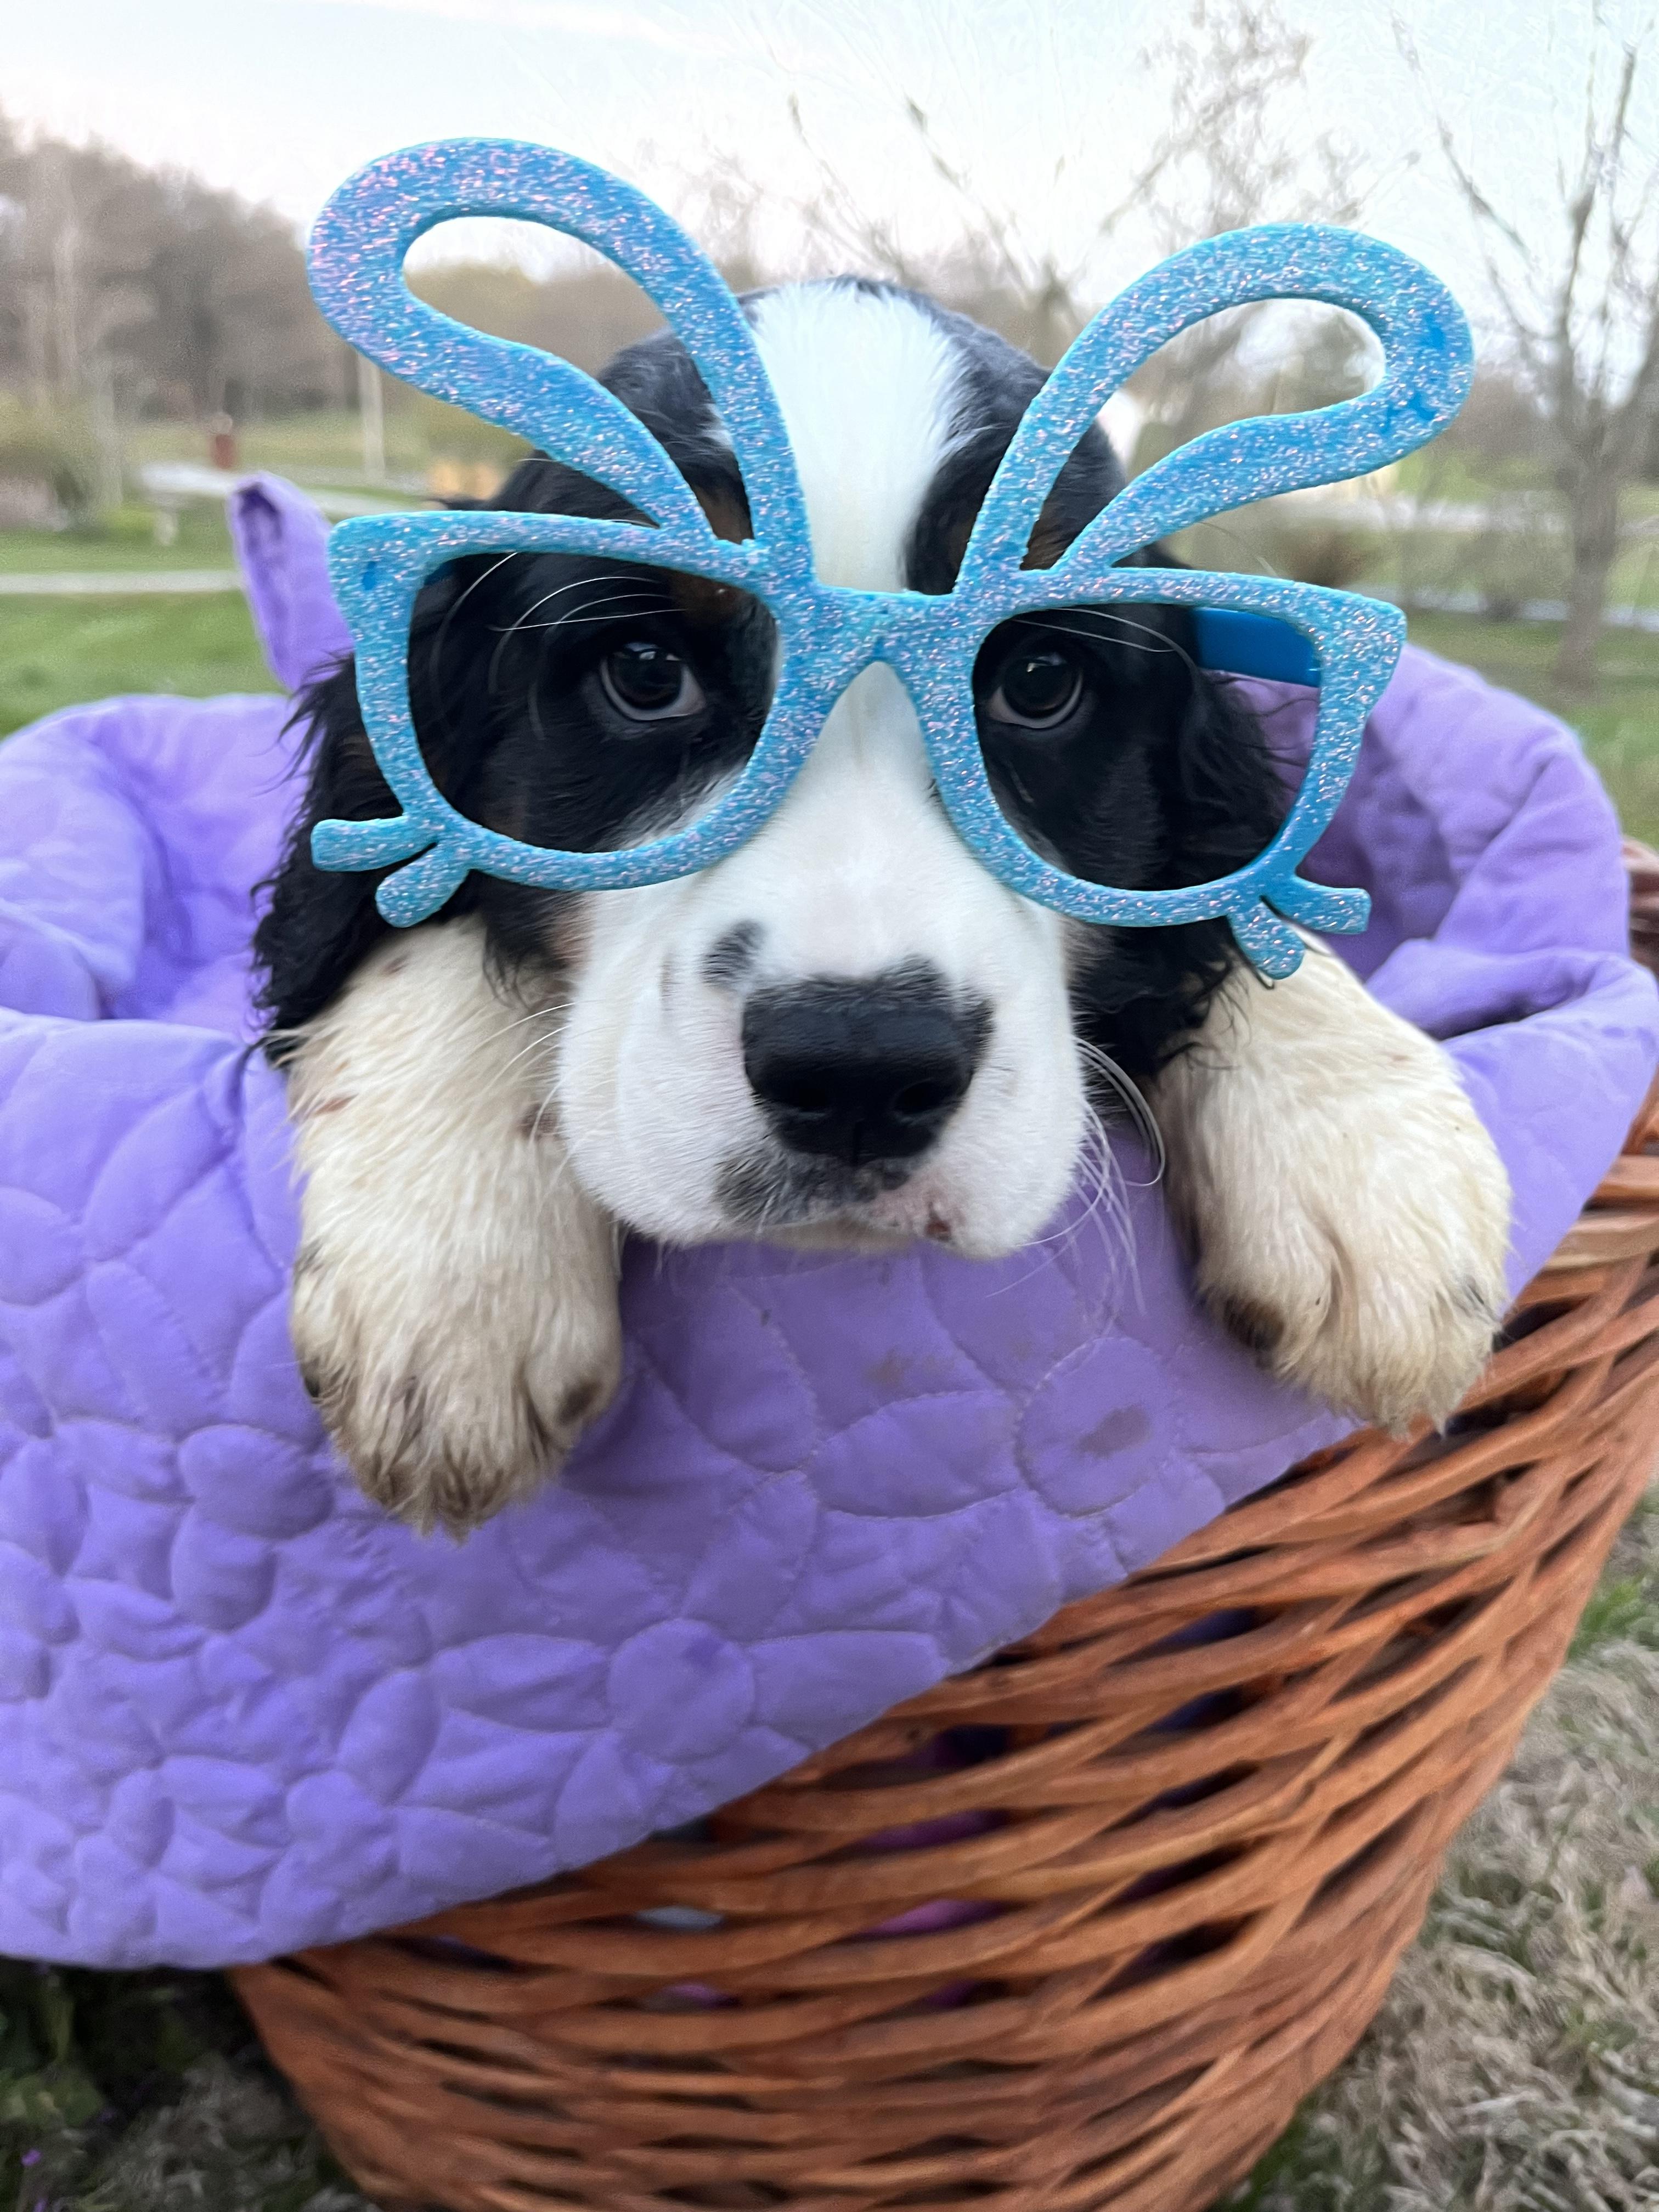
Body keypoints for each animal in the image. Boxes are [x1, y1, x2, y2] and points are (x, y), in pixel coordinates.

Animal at [254, 276, 1512, 1536]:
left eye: (1039, 681)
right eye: (649, 670)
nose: (858, 1069)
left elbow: (1239, 913)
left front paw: (1369, 1156)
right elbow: (419, 912)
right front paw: (456, 1274)